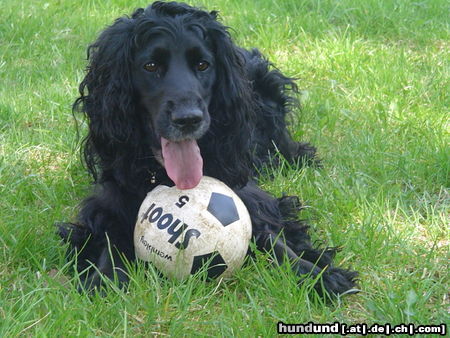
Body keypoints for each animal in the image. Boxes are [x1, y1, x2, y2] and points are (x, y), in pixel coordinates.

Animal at [58, 1, 356, 294]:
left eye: (203, 65)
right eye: (150, 66)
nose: (188, 119)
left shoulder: (245, 197)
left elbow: (270, 238)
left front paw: (317, 275)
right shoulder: (110, 202)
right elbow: (110, 236)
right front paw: (103, 278)